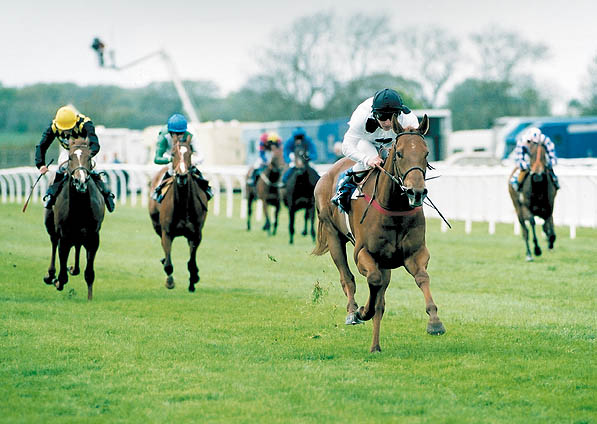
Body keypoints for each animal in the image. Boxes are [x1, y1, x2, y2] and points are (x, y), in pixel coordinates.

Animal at [43, 137, 105, 300]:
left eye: (89, 157)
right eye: (70, 157)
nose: (80, 181)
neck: (80, 205)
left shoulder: (93, 236)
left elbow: (89, 273)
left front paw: (89, 298)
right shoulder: (64, 235)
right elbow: (62, 270)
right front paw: (58, 280)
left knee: (77, 246)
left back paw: (73, 269)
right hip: (51, 225)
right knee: (54, 242)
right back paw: (51, 275)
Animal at [148, 138, 208, 292]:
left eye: (190, 153)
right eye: (173, 154)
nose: (182, 176)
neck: (182, 205)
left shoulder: (196, 233)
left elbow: (191, 262)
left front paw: (193, 280)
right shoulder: (167, 232)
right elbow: (168, 264)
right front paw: (169, 281)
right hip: (156, 225)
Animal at [312, 114, 442, 352]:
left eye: (426, 153)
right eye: (399, 153)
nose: (416, 192)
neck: (394, 208)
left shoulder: (414, 253)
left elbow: (422, 278)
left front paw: (435, 321)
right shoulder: (364, 253)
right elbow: (372, 281)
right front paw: (362, 311)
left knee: (380, 296)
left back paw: (375, 346)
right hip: (333, 235)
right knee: (347, 277)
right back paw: (352, 312)